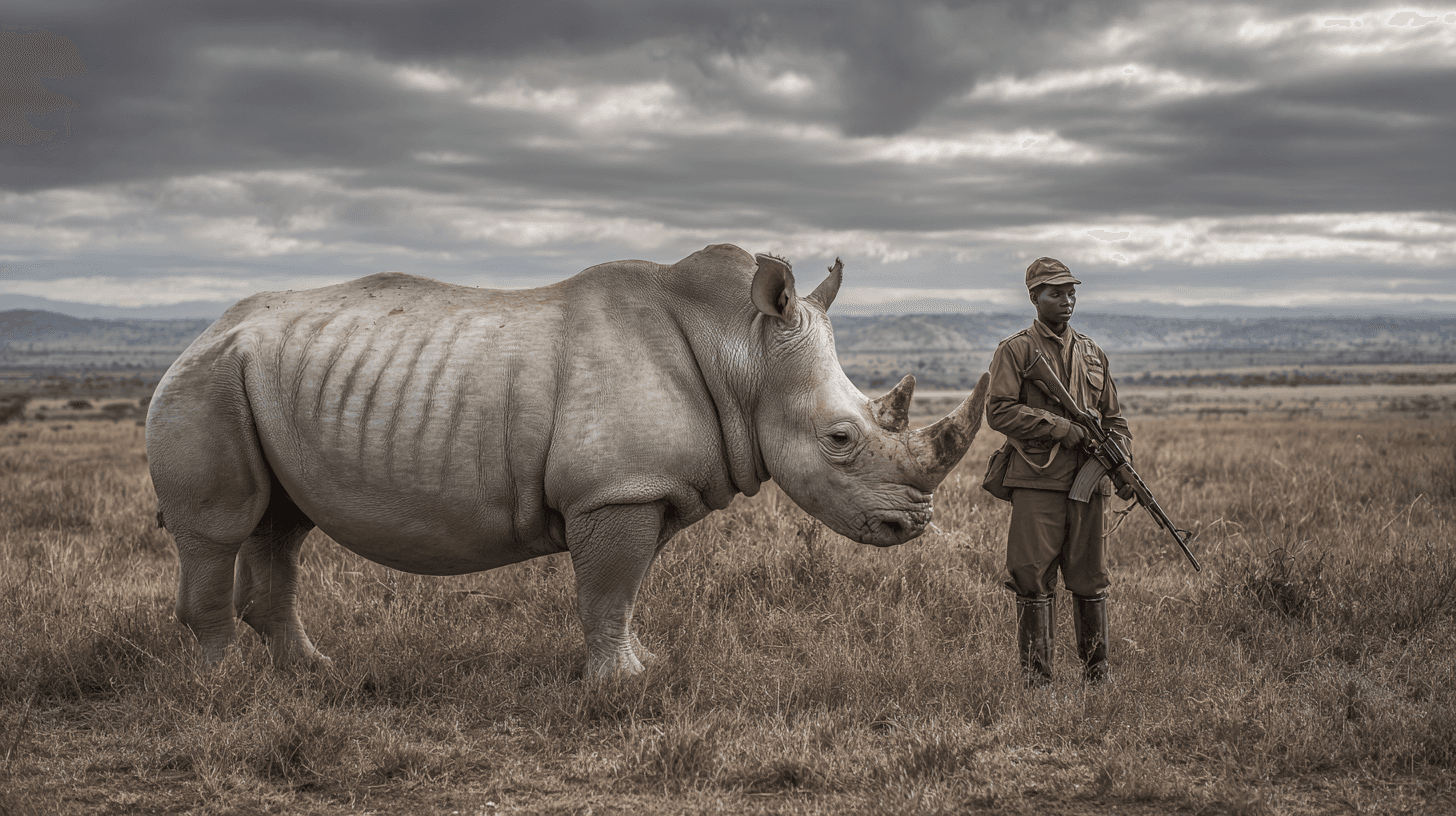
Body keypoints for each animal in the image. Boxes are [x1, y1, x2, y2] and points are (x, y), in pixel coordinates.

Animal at [146, 244, 989, 680]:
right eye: (841, 439)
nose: (912, 525)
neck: (741, 350)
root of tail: (201, 331)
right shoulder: (614, 490)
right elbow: (609, 588)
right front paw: (621, 687)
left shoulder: (646, 488)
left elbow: (629, 589)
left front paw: (644, 665)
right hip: (206, 381)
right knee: (219, 530)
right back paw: (226, 688)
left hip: (256, 380)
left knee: (281, 527)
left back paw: (311, 672)